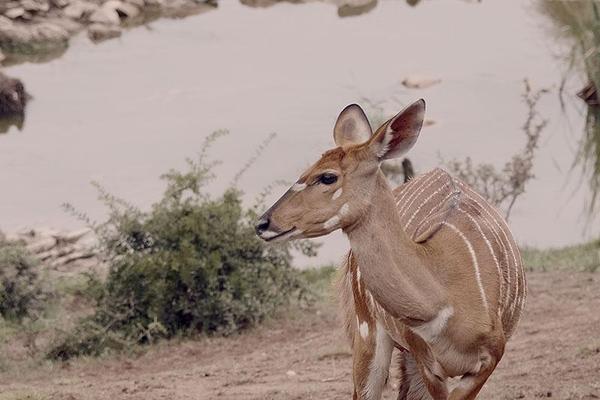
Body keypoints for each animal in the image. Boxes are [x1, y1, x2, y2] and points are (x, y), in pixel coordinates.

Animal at [255, 100, 528, 400]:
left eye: (327, 176)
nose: (263, 223)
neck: (445, 295)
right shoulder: (428, 364)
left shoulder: (488, 359)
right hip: (369, 336)